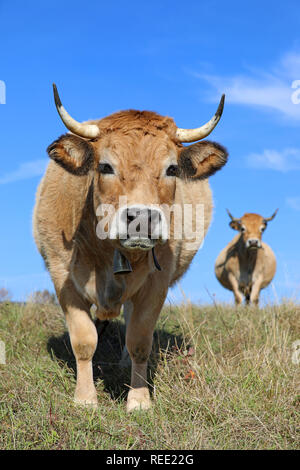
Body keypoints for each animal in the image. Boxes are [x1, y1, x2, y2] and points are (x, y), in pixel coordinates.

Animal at [32, 85, 227, 412]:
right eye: (105, 166)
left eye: (172, 168)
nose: (142, 218)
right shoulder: (62, 278)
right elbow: (83, 341)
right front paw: (85, 399)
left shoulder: (157, 284)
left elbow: (139, 341)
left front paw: (138, 400)